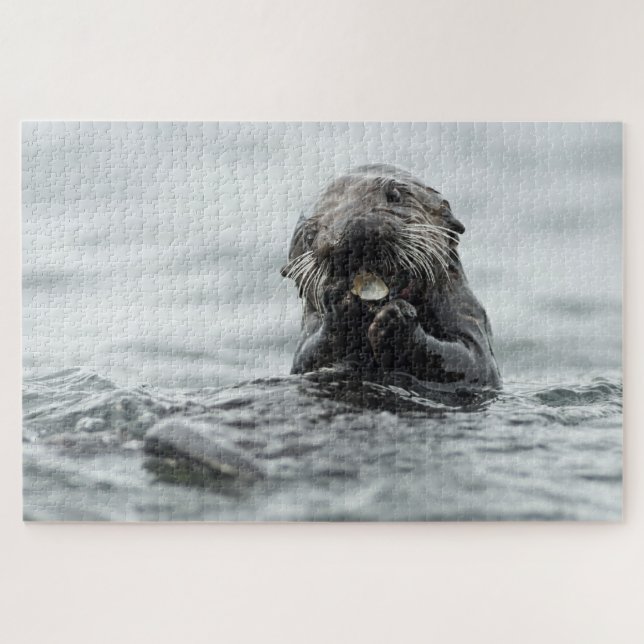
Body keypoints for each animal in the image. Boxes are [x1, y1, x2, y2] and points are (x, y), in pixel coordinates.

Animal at [281, 165, 501, 388]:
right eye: (309, 235)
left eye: (394, 195)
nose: (349, 232)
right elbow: (306, 358)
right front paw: (341, 306)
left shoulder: (467, 312)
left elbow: (472, 361)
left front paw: (396, 319)